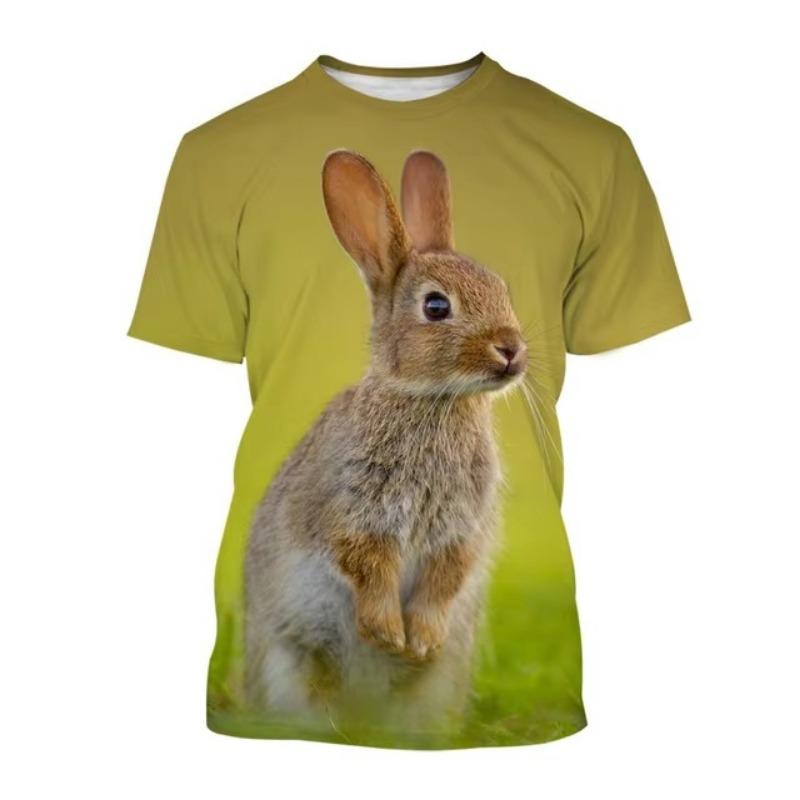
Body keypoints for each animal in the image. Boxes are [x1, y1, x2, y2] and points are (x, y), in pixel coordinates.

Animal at [244, 150, 527, 733]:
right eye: (437, 307)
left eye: (502, 290)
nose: (512, 349)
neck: (433, 400)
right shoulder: (354, 512)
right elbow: (367, 566)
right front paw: (389, 634)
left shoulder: (460, 529)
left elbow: (446, 576)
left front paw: (419, 640)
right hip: (292, 660)